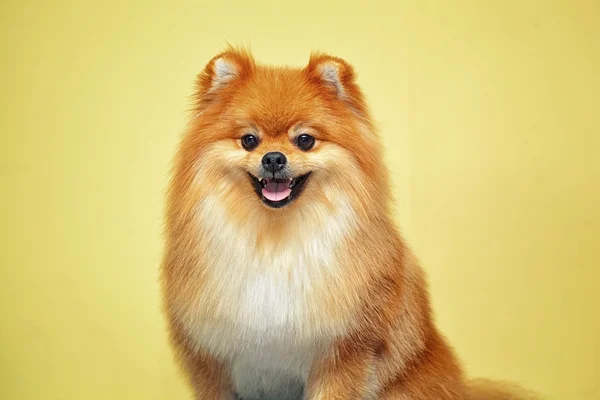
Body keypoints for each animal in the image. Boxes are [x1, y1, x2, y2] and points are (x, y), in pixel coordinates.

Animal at [161, 47, 540, 400]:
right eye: (249, 140)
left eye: (305, 140)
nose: (273, 158)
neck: (275, 240)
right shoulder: (211, 360)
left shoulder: (345, 350)